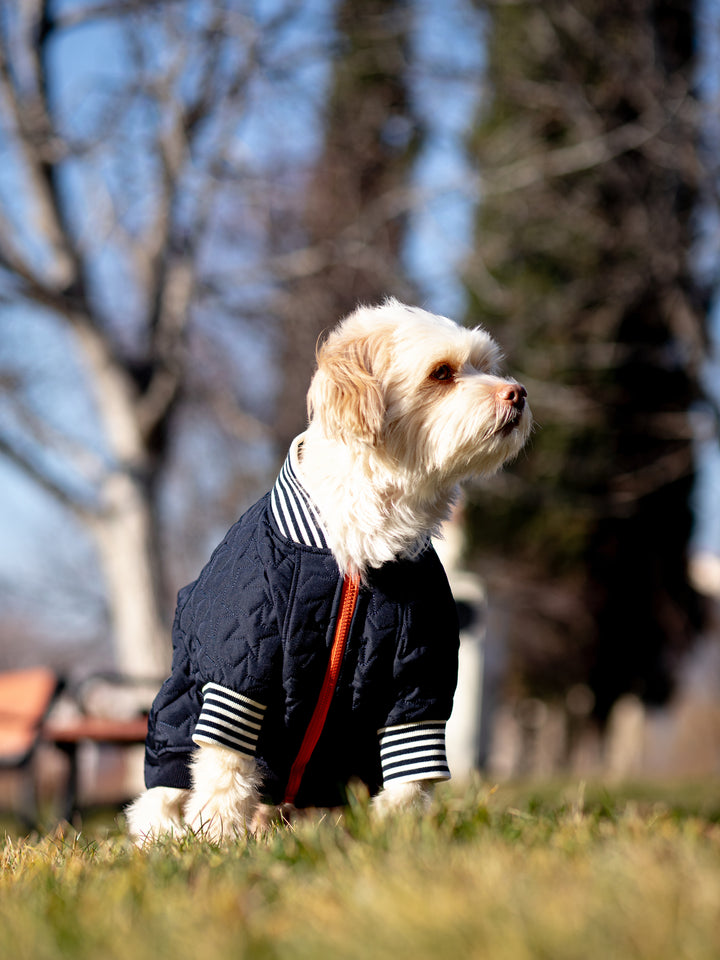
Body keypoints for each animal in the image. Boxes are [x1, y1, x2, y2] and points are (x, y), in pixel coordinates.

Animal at [125, 298, 528, 840]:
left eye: (486, 365)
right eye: (442, 373)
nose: (518, 392)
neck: (360, 549)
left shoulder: (418, 679)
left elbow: (409, 778)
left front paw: (399, 839)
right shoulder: (238, 671)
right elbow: (224, 769)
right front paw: (218, 838)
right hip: (177, 716)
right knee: (161, 795)